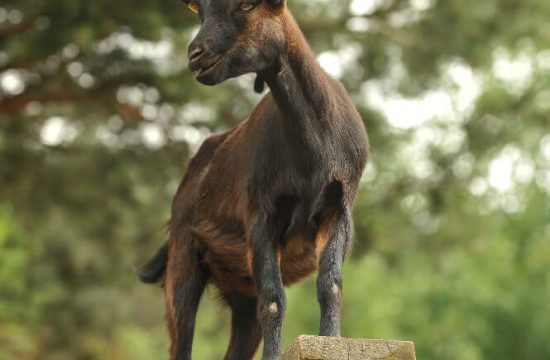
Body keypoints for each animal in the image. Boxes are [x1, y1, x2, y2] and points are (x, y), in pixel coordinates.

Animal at [139, 0, 370, 360]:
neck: (313, 158)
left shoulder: (338, 206)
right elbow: (274, 300)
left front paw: (331, 341)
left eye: (247, 5)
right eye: (200, 12)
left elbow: (330, 285)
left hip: (240, 289)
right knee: (182, 338)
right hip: (182, 257)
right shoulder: (262, 213)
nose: (195, 54)